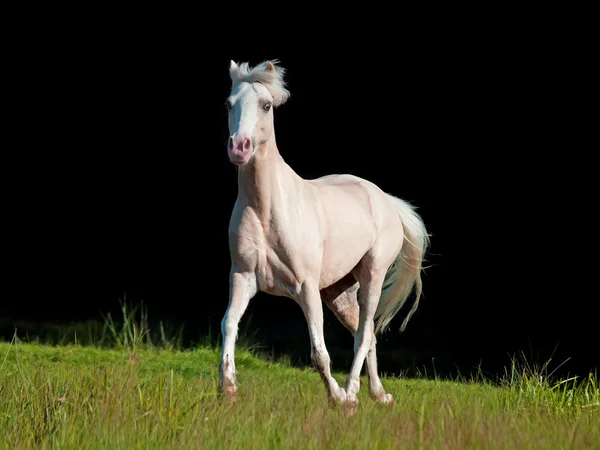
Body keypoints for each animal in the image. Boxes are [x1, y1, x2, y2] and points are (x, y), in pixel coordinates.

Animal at [218, 59, 428, 414]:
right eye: (229, 104)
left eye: (266, 105)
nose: (239, 148)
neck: (266, 211)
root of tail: (386, 200)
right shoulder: (243, 278)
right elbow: (229, 325)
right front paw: (228, 389)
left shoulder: (305, 287)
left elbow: (319, 353)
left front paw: (338, 398)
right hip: (338, 292)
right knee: (367, 335)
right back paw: (378, 394)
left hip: (371, 277)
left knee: (363, 335)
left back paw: (353, 394)